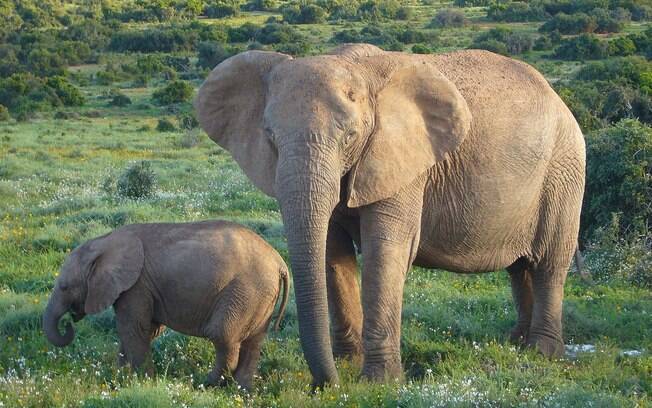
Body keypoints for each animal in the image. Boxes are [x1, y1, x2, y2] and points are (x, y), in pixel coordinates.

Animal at [44, 220, 290, 388]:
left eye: (64, 287)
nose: (69, 323)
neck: (103, 242)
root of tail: (279, 262)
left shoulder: (136, 286)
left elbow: (134, 328)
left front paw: (142, 381)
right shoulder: (142, 288)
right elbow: (144, 330)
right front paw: (120, 376)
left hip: (246, 290)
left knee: (222, 335)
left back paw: (204, 384)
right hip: (261, 296)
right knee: (254, 341)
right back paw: (241, 390)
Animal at [195, 43, 584, 386]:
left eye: (350, 137)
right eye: (270, 136)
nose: (326, 385)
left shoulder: (402, 160)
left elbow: (386, 251)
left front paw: (378, 381)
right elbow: (332, 254)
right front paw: (348, 364)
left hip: (564, 170)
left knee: (549, 262)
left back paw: (543, 352)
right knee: (520, 268)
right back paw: (517, 344)